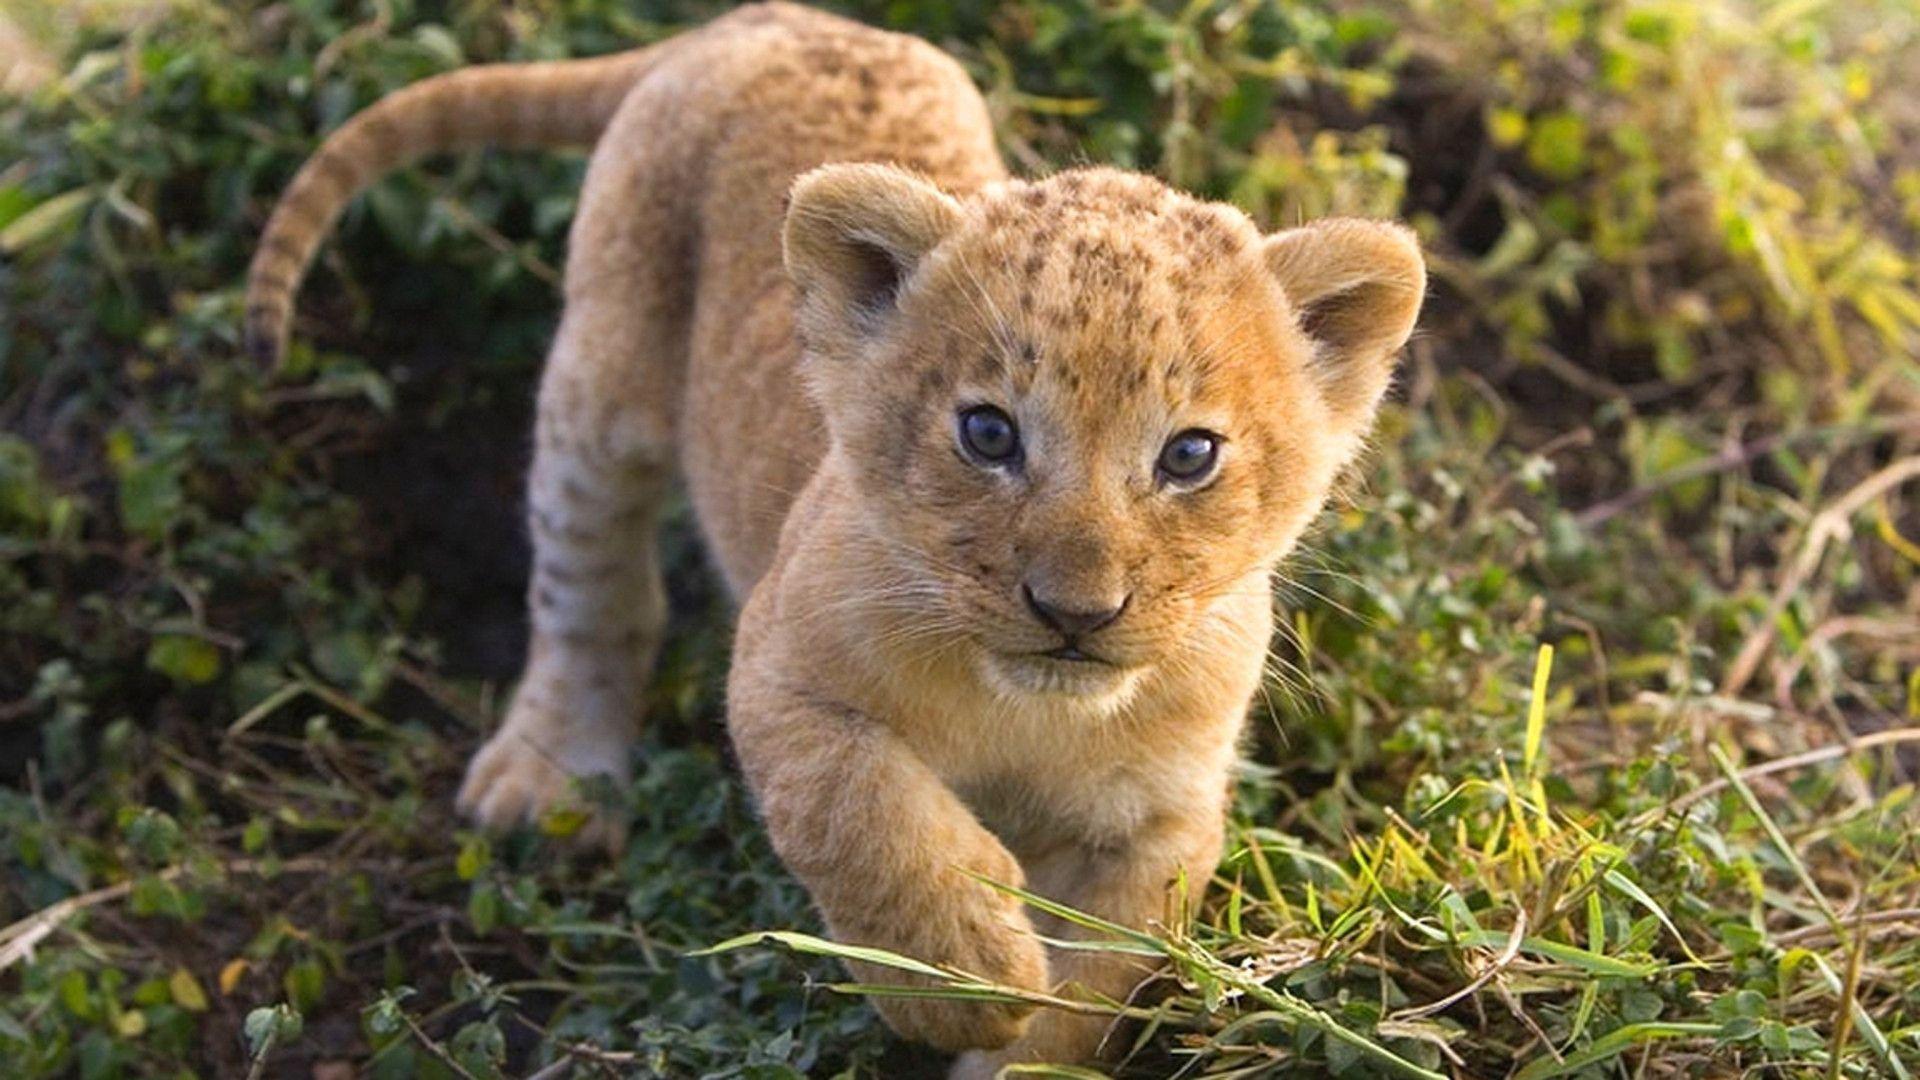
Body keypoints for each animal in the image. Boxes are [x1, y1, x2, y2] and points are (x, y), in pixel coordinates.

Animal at [246, 4, 1424, 1072]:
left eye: (1188, 455)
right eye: (988, 434)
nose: (1074, 614)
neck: (1032, 714)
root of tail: (769, 20)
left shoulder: (1161, 818)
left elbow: (1094, 985)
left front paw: (1016, 1033)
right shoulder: (780, 673)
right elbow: (863, 815)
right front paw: (965, 976)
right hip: (602, 381)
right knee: (588, 586)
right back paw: (548, 777)